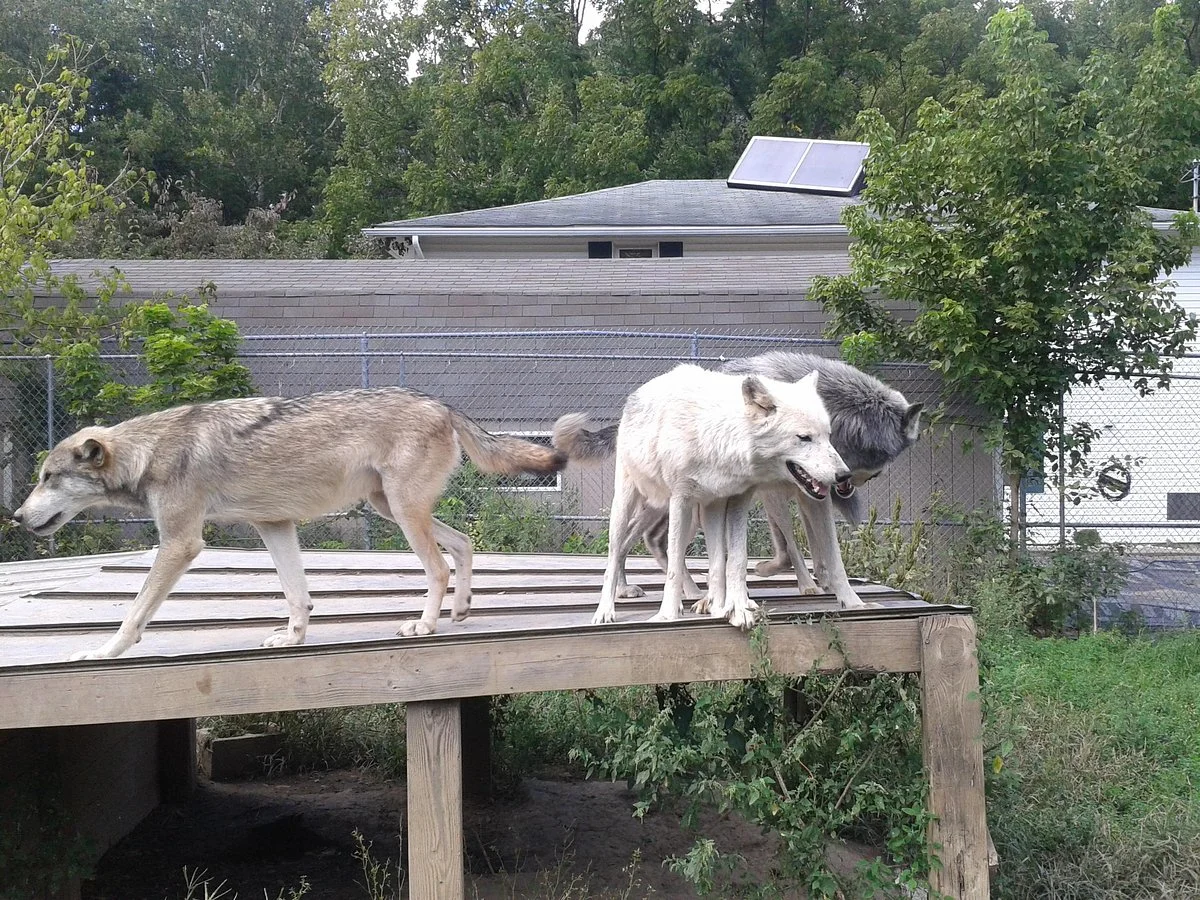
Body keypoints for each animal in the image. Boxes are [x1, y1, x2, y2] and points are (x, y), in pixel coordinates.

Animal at [11, 388, 566, 660]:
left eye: (47, 477)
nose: (15, 516)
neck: (148, 454)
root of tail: (441, 403)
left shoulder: (181, 544)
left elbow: (132, 615)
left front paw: (103, 651)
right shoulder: (274, 525)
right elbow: (297, 595)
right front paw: (293, 638)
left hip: (403, 514)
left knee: (438, 567)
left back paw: (426, 625)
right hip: (393, 508)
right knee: (465, 543)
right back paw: (461, 611)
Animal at [558, 352, 923, 610]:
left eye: (829, 437)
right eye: (877, 469)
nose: (845, 478)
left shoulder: (804, 495)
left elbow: (825, 552)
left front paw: (842, 595)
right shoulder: (774, 495)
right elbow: (790, 546)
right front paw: (786, 580)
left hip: (673, 506)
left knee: (648, 539)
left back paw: (682, 590)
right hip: (666, 502)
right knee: (629, 539)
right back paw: (628, 590)